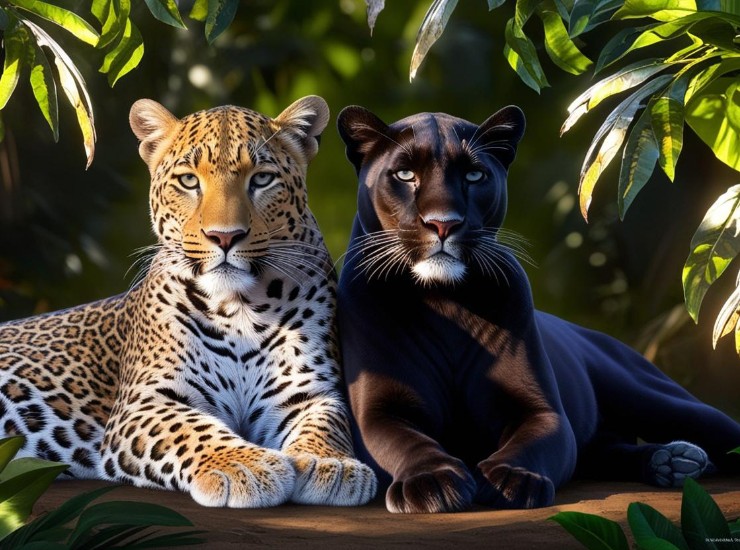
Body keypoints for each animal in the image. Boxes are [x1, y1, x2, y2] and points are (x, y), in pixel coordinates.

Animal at [0, 96, 377, 508]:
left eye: (261, 179)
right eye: (189, 181)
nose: (224, 237)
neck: (240, 309)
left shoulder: (309, 391)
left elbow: (327, 423)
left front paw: (332, 464)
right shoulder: (143, 403)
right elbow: (192, 429)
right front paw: (241, 465)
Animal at [335, 103, 740, 513]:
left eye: (474, 175)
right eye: (405, 174)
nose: (443, 223)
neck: (444, 301)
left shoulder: (539, 407)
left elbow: (533, 441)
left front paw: (510, 479)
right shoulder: (379, 411)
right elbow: (405, 441)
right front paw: (432, 482)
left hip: (652, 396)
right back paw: (671, 461)